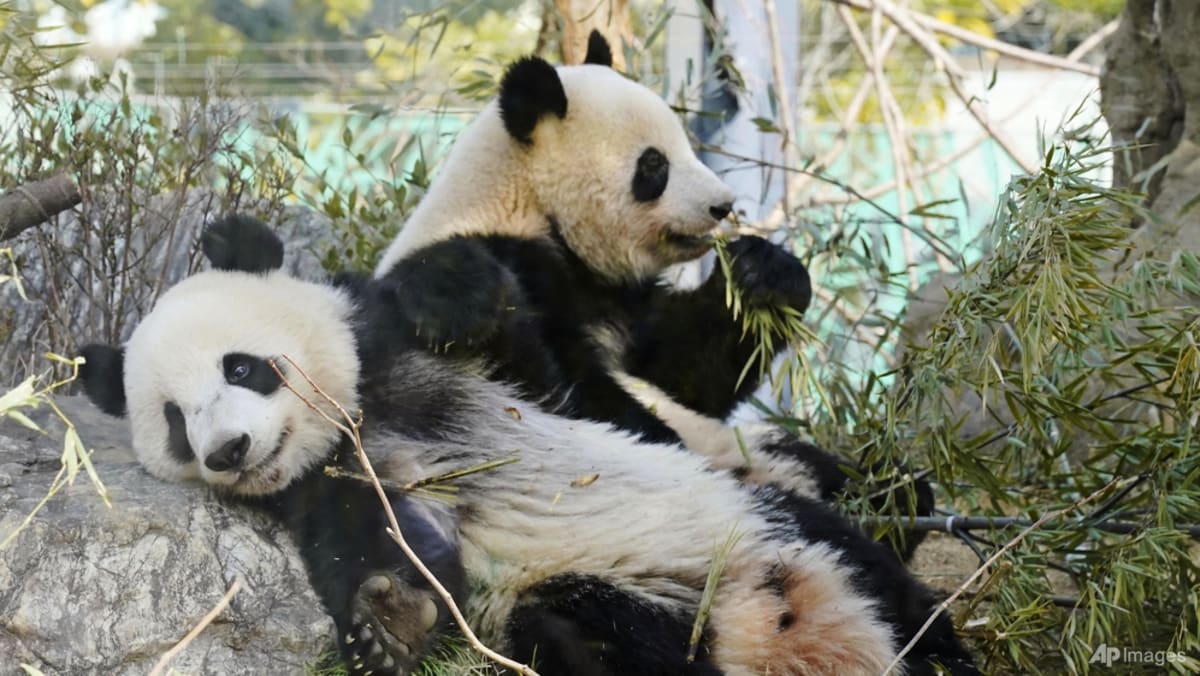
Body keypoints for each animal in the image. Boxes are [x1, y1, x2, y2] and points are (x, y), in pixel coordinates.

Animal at [78, 216, 978, 676]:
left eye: (242, 367)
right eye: (174, 421)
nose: (228, 450)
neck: (362, 419)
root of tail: (779, 627)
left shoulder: (447, 366)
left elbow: (569, 379)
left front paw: (450, 288)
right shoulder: (333, 486)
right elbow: (381, 545)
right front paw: (387, 622)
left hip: (761, 526)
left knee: (886, 589)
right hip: (636, 602)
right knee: (574, 635)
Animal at [370, 32, 932, 558]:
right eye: (654, 165)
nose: (722, 205)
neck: (528, 207)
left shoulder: (623, 299)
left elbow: (684, 374)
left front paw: (764, 272)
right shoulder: (509, 257)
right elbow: (547, 384)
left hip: (762, 448)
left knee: (855, 477)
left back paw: (892, 500)